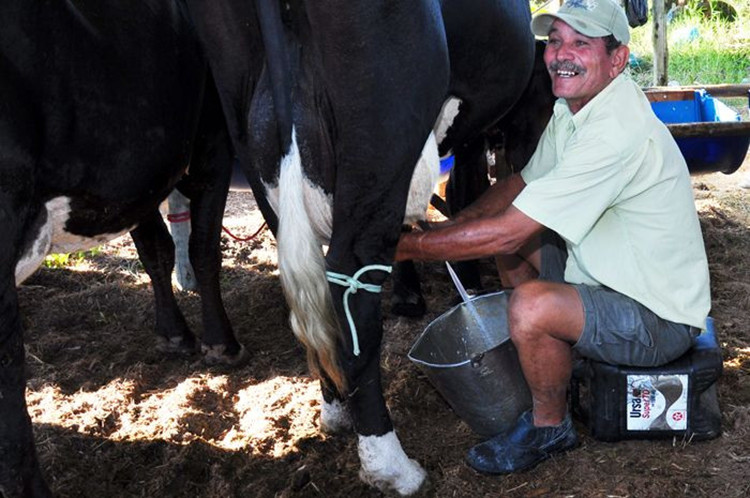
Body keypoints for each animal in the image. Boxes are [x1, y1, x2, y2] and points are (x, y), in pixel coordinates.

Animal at [0, 0, 250, 494]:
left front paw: (174, 334)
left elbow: (157, 250)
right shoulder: (211, 136)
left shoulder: (141, 173)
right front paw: (221, 343)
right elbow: (202, 249)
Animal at [187, 0, 540, 494]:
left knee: (312, 294)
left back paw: (335, 408)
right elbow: (469, 193)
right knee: (350, 290)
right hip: (380, 131)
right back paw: (390, 465)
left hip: (247, 122)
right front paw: (465, 283)